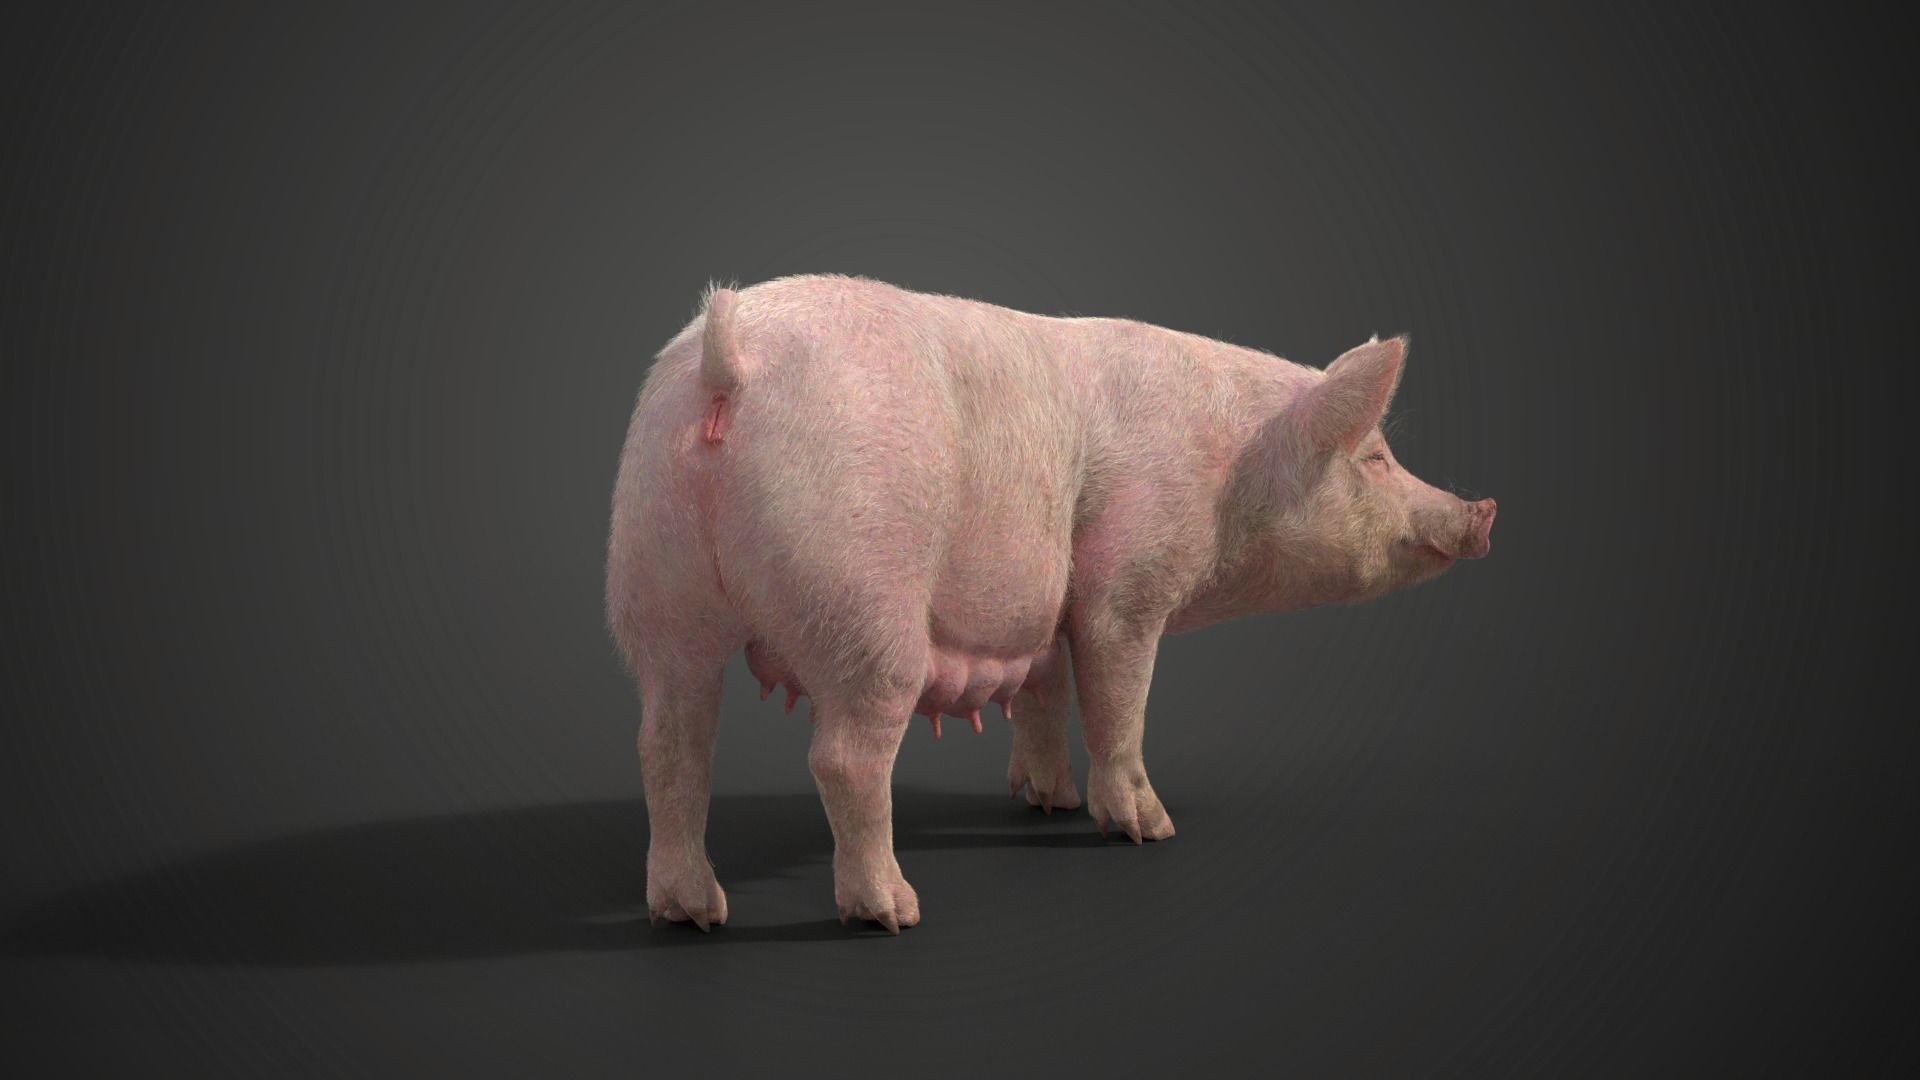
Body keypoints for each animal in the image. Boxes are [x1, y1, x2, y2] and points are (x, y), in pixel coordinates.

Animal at [605, 273, 1495, 933]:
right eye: (1374, 457)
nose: (1483, 510)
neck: (1233, 470)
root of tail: (727, 362)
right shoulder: (1128, 581)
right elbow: (1116, 698)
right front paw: (1149, 828)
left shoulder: (1048, 615)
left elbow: (1044, 691)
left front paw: (1048, 801)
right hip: (859, 589)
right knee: (843, 755)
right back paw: (893, 912)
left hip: (653, 574)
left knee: (669, 741)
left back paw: (692, 913)